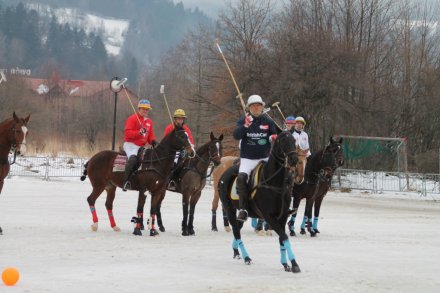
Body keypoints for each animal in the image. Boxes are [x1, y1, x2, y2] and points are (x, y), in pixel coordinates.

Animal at [217, 130, 302, 272]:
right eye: (281, 140)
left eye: (294, 140)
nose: (294, 159)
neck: (274, 182)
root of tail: (223, 173)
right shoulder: (268, 216)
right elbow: (284, 236)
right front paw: (294, 264)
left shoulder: (283, 215)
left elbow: (282, 238)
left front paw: (286, 264)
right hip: (229, 208)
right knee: (236, 231)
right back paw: (246, 258)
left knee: (238, 228)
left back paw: (236, 251)